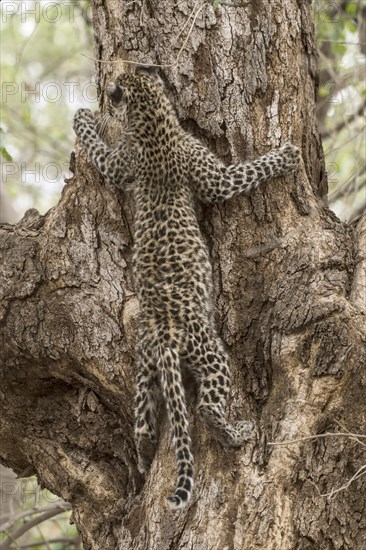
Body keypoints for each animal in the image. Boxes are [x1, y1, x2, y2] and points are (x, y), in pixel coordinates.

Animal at [72, 67, 300, 512]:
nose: (117, 77)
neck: (152, 123)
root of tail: (163, 333)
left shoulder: (119, 164)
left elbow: (101, 155)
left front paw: (84, 119)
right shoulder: (215, 179)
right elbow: (241, 174)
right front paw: (285, 156)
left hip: (145, 365)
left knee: (143, 423)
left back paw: (144, 458)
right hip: (210, 353)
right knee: (207, 408)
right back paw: (238, 432)